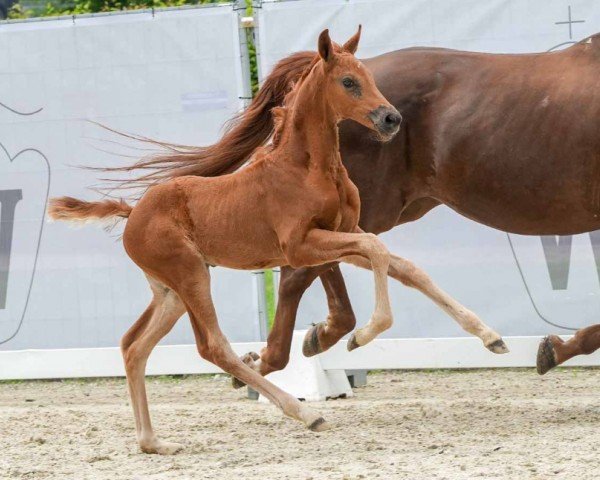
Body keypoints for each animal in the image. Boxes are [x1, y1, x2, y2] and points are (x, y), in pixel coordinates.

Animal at [49, 28, 406, 456]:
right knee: (213, 347)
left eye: (369, 76)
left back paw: (153, 442)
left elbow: (379, 256)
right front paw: (363, 335)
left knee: (134, 346)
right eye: (349, 82)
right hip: (190, 276)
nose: (391, 118)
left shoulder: (339, 233)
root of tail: (133, 213)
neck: (307, 169)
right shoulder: (299, 246)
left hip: (170, 293)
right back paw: (305, 413)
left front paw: (337, 334)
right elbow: (376, 250)